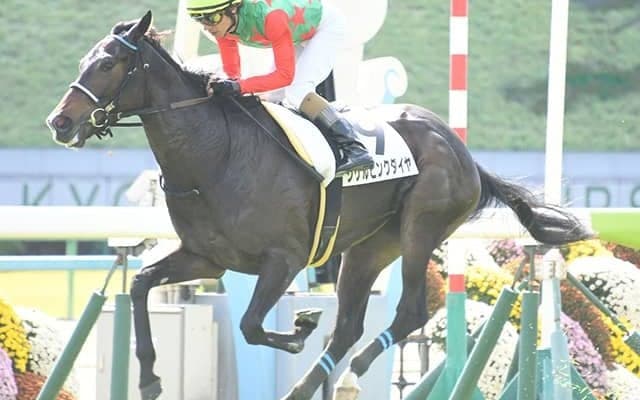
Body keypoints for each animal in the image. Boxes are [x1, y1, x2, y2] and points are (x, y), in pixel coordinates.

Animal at [46, 11, 591, 400]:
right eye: (82, 62)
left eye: (108, 64)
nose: (60, 122)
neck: (216, 156)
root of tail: (463, 152)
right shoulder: (206, 258)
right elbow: (140, 286)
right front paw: (149, 379)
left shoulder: (283, 260)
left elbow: (250, 325)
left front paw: (299, 328)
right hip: (369, 247)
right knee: (349, 324)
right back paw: (315, 384)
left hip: (420, 229)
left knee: (409, 312)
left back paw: (353, 371)